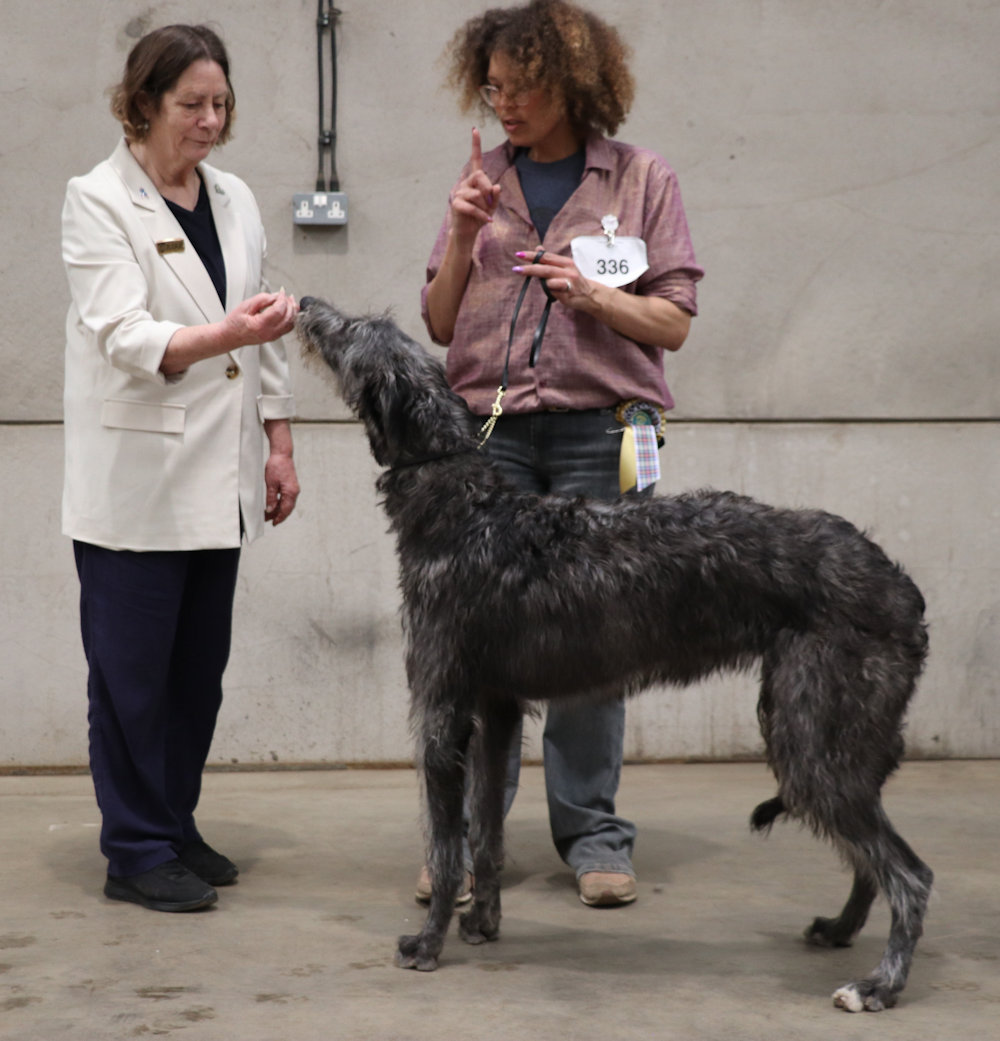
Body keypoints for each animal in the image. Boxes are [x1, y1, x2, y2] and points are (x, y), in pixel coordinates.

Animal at [295, 297, 928, 1011]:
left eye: (354, 330)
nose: (305, 304)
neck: (464, 504)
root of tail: (900, 585)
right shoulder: (497, 706)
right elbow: (484, 834)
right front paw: (482, 921)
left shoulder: (442, 710)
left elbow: (448, 842)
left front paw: (428, 944)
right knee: (873, 859)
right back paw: (841, 929)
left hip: (811, 734)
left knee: (910, 873)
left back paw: (880, 983)